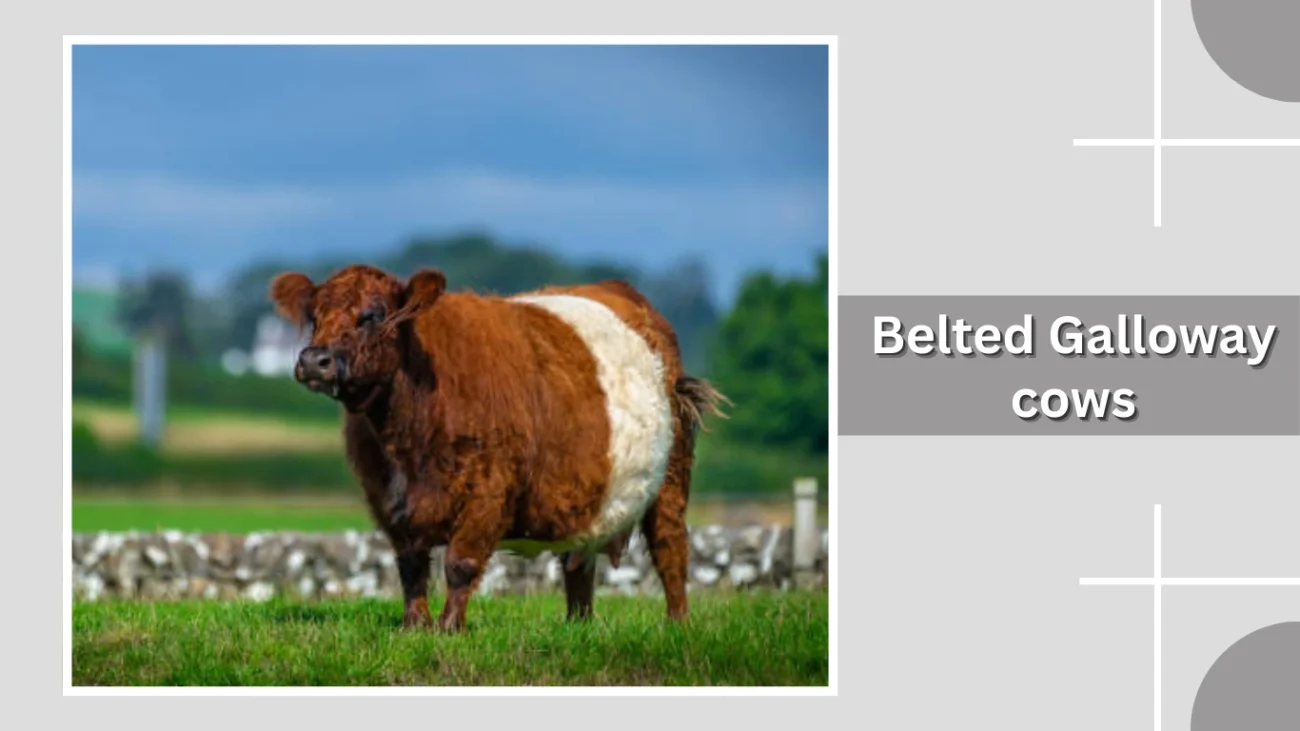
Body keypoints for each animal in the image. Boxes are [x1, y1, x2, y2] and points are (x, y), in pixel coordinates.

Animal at [268, 264, 728, 632]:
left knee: (670, 546)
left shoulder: (489, 491)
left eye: (374, 314)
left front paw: (449, 629)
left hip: (672, 474)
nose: (314, 360)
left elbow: (460, 564)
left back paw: (677, 623)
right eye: (314, 316)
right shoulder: (387, 498)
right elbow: (410, 567)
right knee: (579, 563)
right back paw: (577, 626)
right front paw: (413, 627)